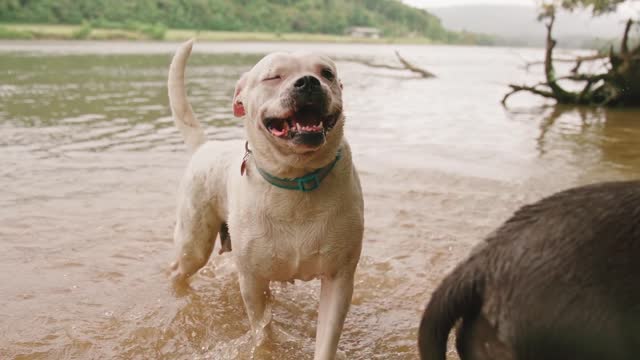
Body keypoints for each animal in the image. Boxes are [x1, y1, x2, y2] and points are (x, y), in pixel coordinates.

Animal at [168, 40, 362, 360]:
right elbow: (263, 331)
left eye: (327, 73)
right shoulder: (252, 279)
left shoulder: (339, 278)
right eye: (273, 76)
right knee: (179, 269)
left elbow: (326, 340)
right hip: (193, 243)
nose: (309, 82)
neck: (295, 181)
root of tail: (206, 147)